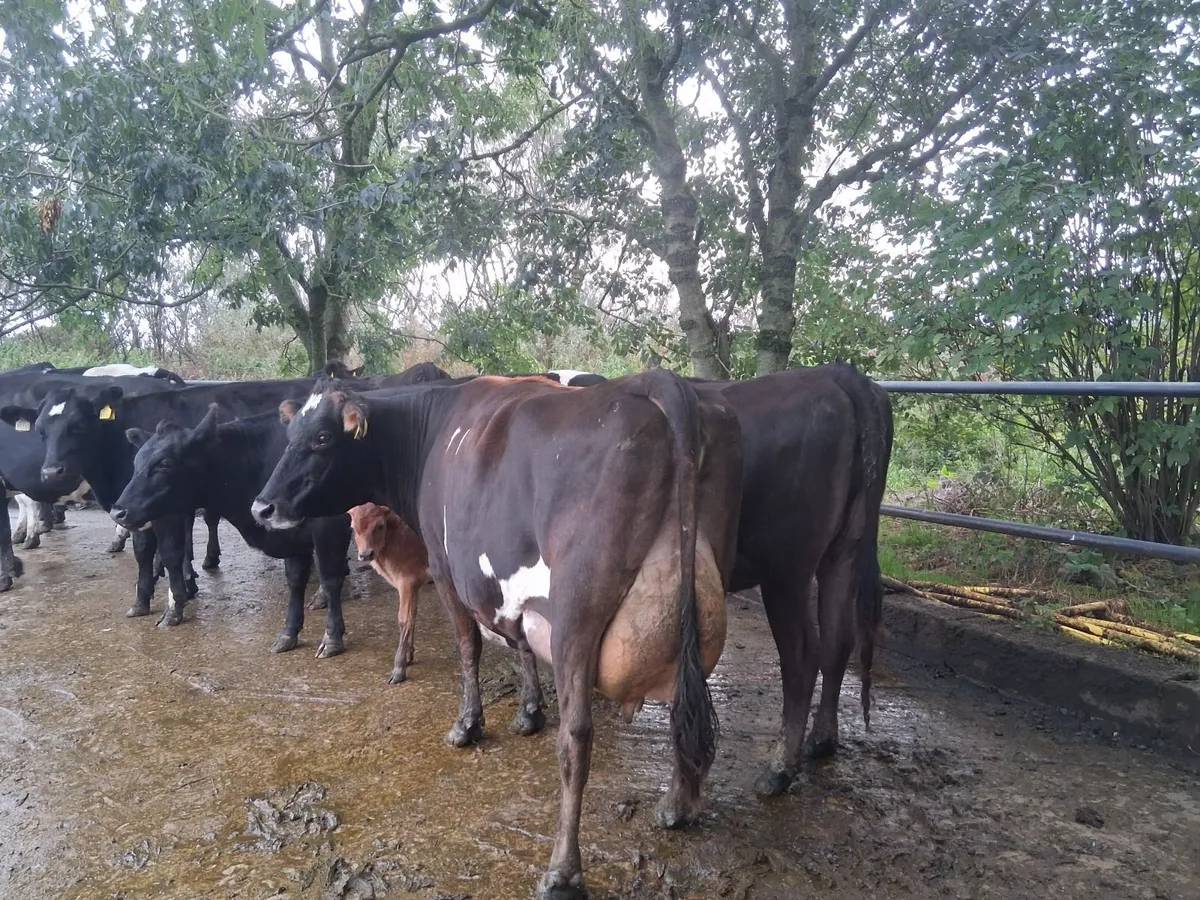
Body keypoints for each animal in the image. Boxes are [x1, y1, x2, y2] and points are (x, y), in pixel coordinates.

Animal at [348, 503, 430, 683]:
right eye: (353, 527)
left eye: (380, 526)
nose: (366, 554)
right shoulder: (414, 584)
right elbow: (413, 616)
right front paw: (409, 656)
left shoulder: (407, 580)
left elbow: (404, 619)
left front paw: (399, 668)